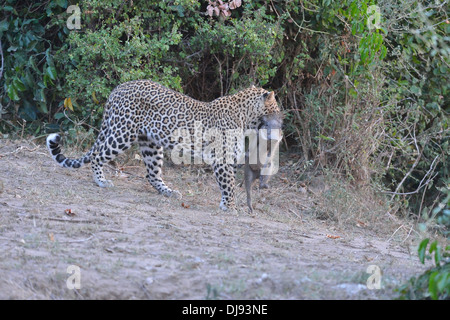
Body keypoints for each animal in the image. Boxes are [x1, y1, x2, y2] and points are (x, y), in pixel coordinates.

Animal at [48, 79, 282, 211]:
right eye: (276, 107)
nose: (282, 118)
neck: (246, 117)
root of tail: (117, 89)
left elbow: (228, 184)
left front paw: (226, 205)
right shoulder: (222, 158)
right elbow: (229, 185)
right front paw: (231, 207)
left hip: (150, 144)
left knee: (151, 174)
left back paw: (169, 192)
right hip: (122, 132)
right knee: (98, 154)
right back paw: (101, 181)